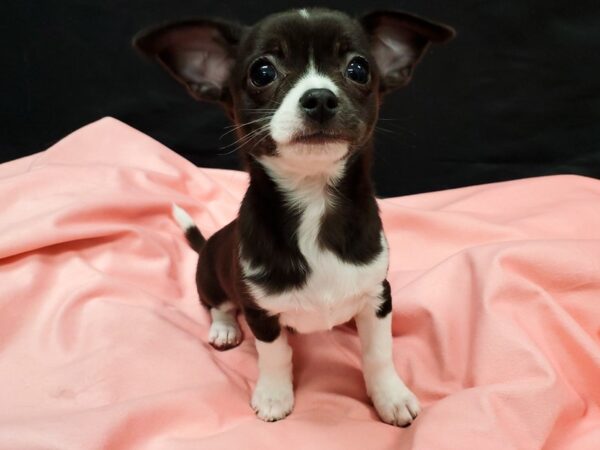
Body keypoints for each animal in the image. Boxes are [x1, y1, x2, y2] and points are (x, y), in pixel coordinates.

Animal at [135, 8, 454, 428]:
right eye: (263, 72)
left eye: (358, 68)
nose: (319, 98)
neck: (313, 200)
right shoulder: (260, 312)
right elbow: (275, 355)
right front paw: (274, 396)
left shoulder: (377, 296)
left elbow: (378, 353)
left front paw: (391, 396)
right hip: (210, 276)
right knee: (217, 304)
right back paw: (224, 329)